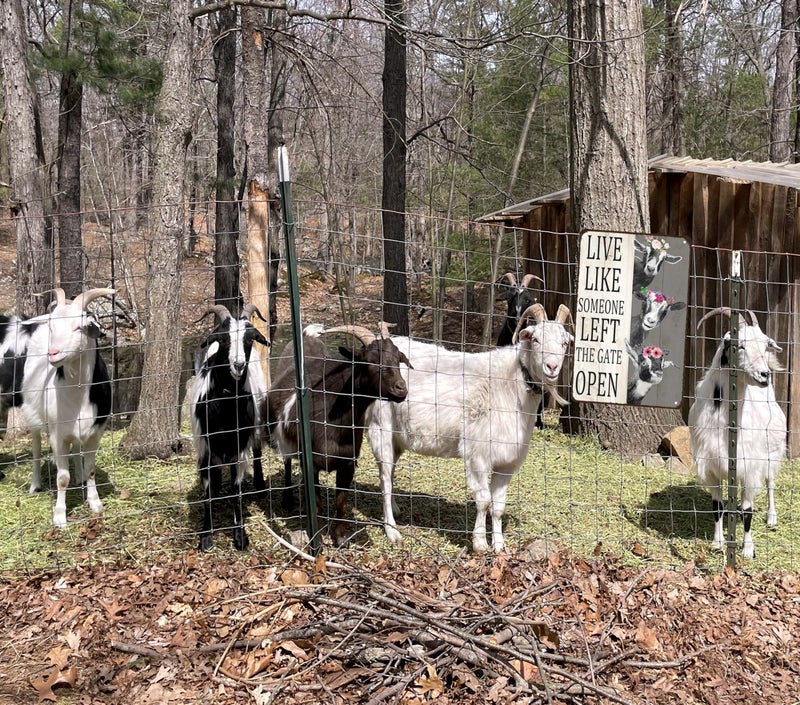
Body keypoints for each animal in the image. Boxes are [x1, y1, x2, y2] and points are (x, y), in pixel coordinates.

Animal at [22, 288, 115, 529]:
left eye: (79, 326)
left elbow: (91, 469)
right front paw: (59, 516)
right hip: (33, 415)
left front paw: (95, 504)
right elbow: (62, 478)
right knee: (36, 449)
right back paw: (35, 485)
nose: (53, 353)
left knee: (76, 449)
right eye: (53, 327)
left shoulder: (96, 432)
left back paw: (79, 477)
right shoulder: (57, 435)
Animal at [188, 303, 269, 551]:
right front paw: (206, 536)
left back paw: (260, 485)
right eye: (222, 339)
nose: (239, 365)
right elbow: (208, 495)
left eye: (250, 338)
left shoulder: (239, 451)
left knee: (258, 450)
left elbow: (237, 493)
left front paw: (240, 535)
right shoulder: (204, 449)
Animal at [264, 323, 411, 546]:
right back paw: (287, 500)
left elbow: (341, 503)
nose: (401, 389)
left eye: (398, 359)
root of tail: (306, 336)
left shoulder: (348, 463)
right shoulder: (311, 464)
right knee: (287, 462)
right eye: (369, 360)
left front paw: (340, 538)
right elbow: (316, 504)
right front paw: (316, 537)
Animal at [367, 303, 573, 552]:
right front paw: (480, 543)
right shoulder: (478, 455)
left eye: (564, 342)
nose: (552, 366)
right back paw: (392, 531)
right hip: (381, 428)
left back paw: (396, 510)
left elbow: (498, 506)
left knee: (387, 474)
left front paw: (499, 546)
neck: (510, 385)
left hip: (397, 437)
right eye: (535, 339)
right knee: (385, 480)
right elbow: (484, 501)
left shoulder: (507, 462)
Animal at [688, 307, 786, 559]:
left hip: (772, 452)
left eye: (766, 345)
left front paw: (748, 549)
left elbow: (748, 511)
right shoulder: (710, 464)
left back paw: (771, 517)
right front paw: (717, 542)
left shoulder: (750, 466)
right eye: (739, 345)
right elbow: (717, 507)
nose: (764, 375)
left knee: (770, 484)